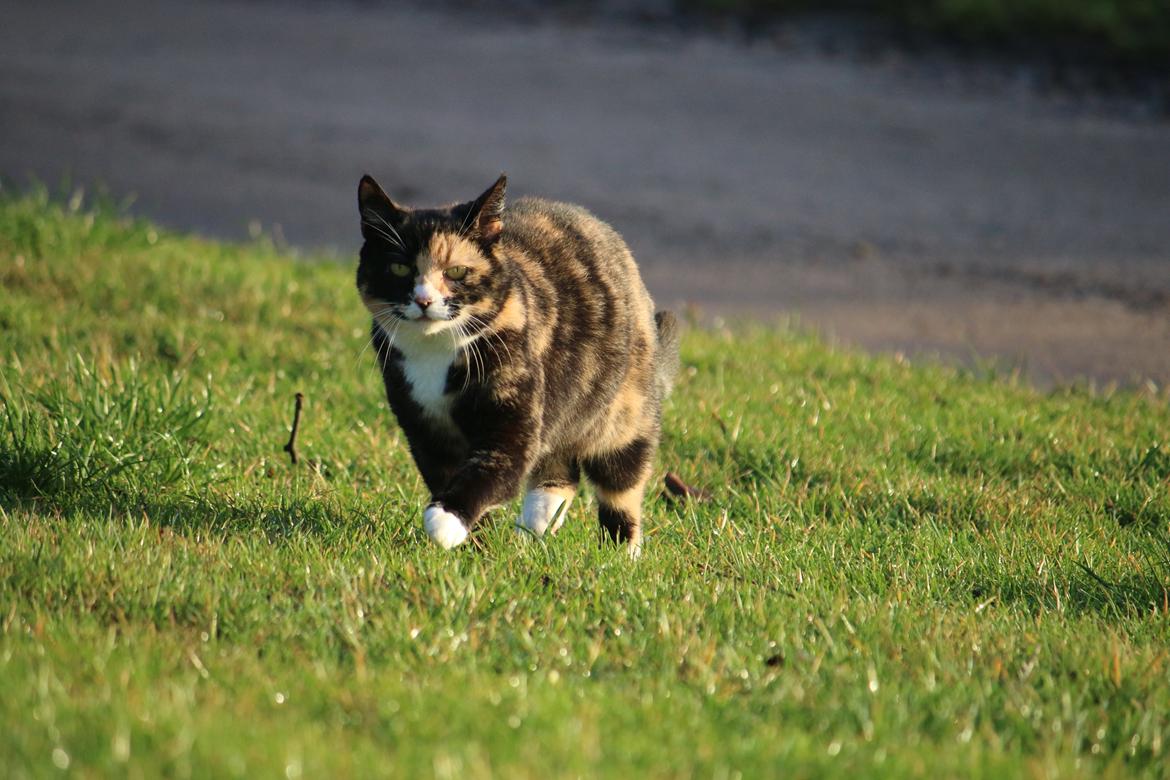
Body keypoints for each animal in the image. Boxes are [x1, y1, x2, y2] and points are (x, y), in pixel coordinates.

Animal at [353, 174, 678, 558]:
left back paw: (620, 553)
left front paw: (445, 522)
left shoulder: (513, 422)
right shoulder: (423, 429)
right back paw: (534, 530)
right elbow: (446, 475)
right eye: (400, 267)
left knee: (621, 487)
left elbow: (494, 467)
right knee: (561, 472)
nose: (424, 300)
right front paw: (475, 542)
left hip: (625, 417)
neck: (435, 353)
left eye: (456, 271)